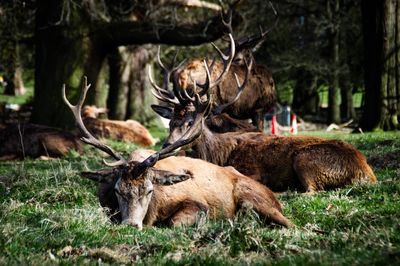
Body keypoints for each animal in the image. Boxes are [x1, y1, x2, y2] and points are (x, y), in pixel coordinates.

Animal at [62, 76, 294, 229]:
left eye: (149, 190)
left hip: (253, 197)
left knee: (290, 223)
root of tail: (275, 198)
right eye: (118, 190)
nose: (131, 224)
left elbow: (175, 222)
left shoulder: (197, 203)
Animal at [151, 60, 378, 193]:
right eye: (170, 123)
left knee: (313, 190)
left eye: (190, 122)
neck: (215, 154)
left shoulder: (253, 170)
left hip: (305, 160)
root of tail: (366, 173)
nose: (166, 145)